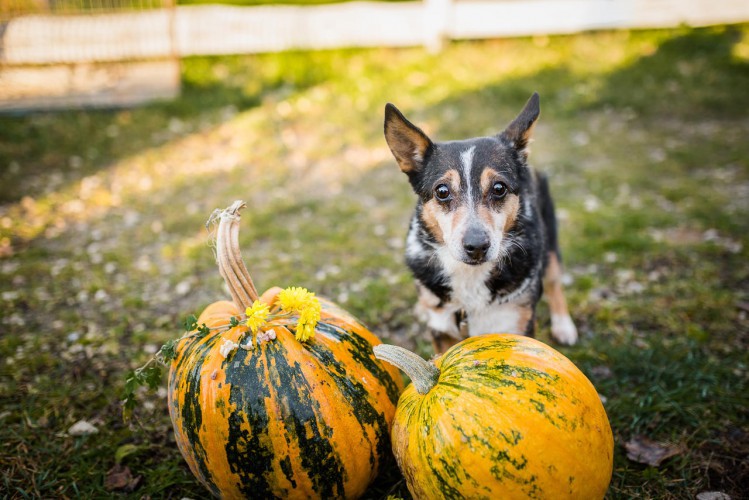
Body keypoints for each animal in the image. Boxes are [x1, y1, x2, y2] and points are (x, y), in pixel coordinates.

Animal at [382, 93, 576, 352]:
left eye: (499, 188)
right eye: (442, 191)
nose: (476, 247)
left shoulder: (518, 325)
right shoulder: (441, 330)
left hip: (550, 235)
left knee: (554, 280)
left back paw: (564, 325)